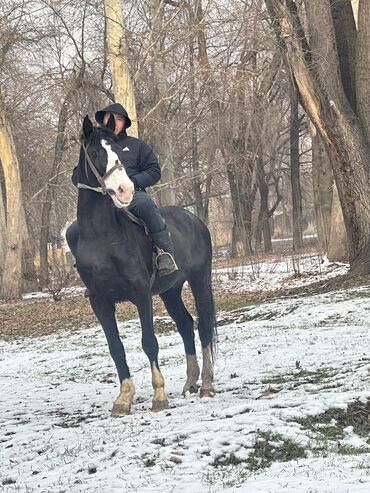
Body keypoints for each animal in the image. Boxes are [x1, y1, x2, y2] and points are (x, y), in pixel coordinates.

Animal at [68, 115, 215, 416]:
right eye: (95, 152)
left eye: (118, 151)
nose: (125, 190)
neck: (102, 236)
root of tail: (194, 220)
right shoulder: (99, 301)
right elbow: (115, 348)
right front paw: (123, 398)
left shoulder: (140, 292)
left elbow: (149, 342)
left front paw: (158, 396)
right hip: (171, 291)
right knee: (185, 324)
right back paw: (190, 382)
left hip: (200, 279)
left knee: (204, 325)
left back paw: (206, 384)